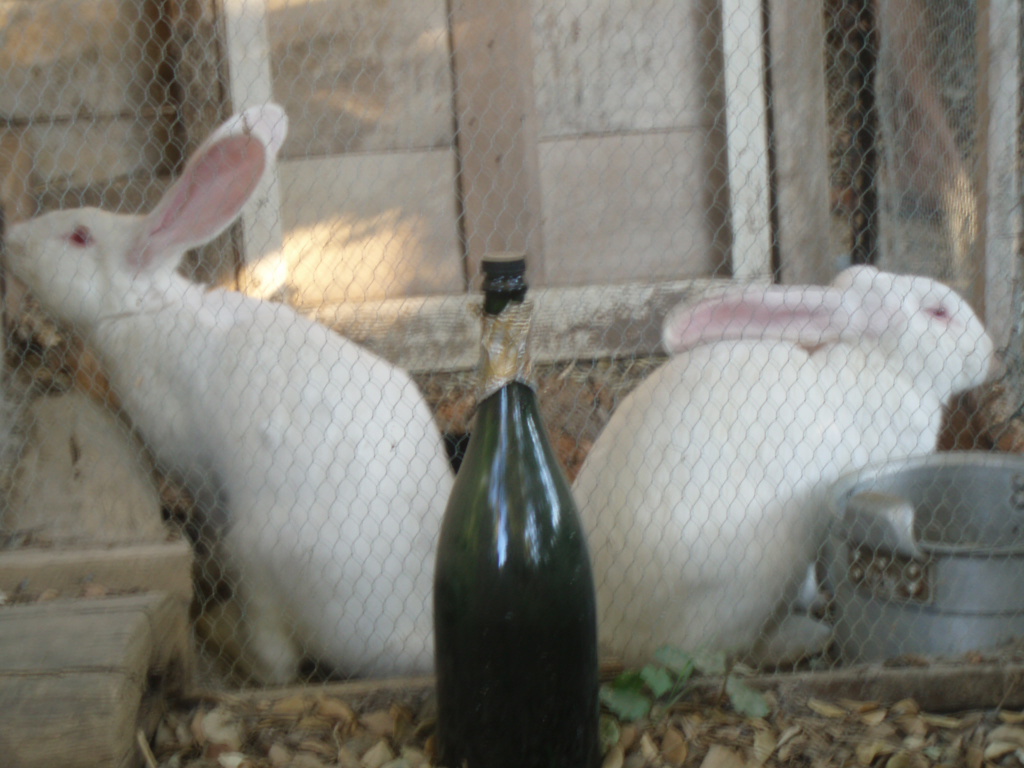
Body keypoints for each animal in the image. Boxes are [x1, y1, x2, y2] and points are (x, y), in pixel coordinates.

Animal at [3, 103, 452, 684]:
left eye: (79, 236)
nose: (11, 237)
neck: (143, 311)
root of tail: (414, 637)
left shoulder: (190, 461)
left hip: (262, 560)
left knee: (277, 663)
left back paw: (218, 629)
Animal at [573, 266, 995, 667]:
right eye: (938, 312)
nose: (988, 351)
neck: (878, 364)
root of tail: (611, 634)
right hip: (756, 579)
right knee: (723, 651)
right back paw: (807, 637)